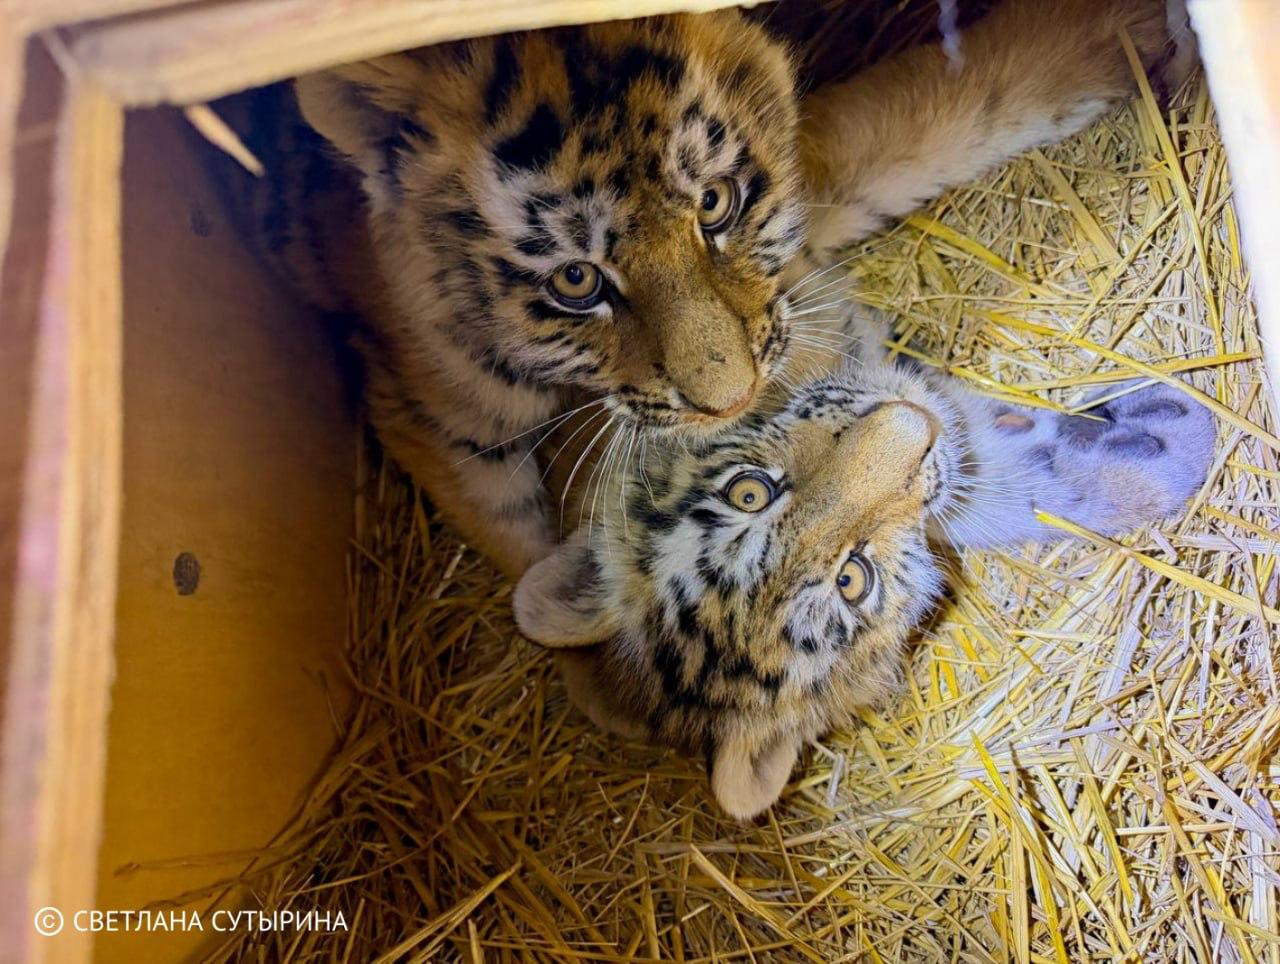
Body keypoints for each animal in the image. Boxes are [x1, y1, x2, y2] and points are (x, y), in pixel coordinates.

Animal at [268, 0, 1183, 578]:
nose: (731, 398)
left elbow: (934, 110)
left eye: (715, 203)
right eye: (575, 280)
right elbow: (520, 541)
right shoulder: (435, 415)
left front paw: (1125, 29)